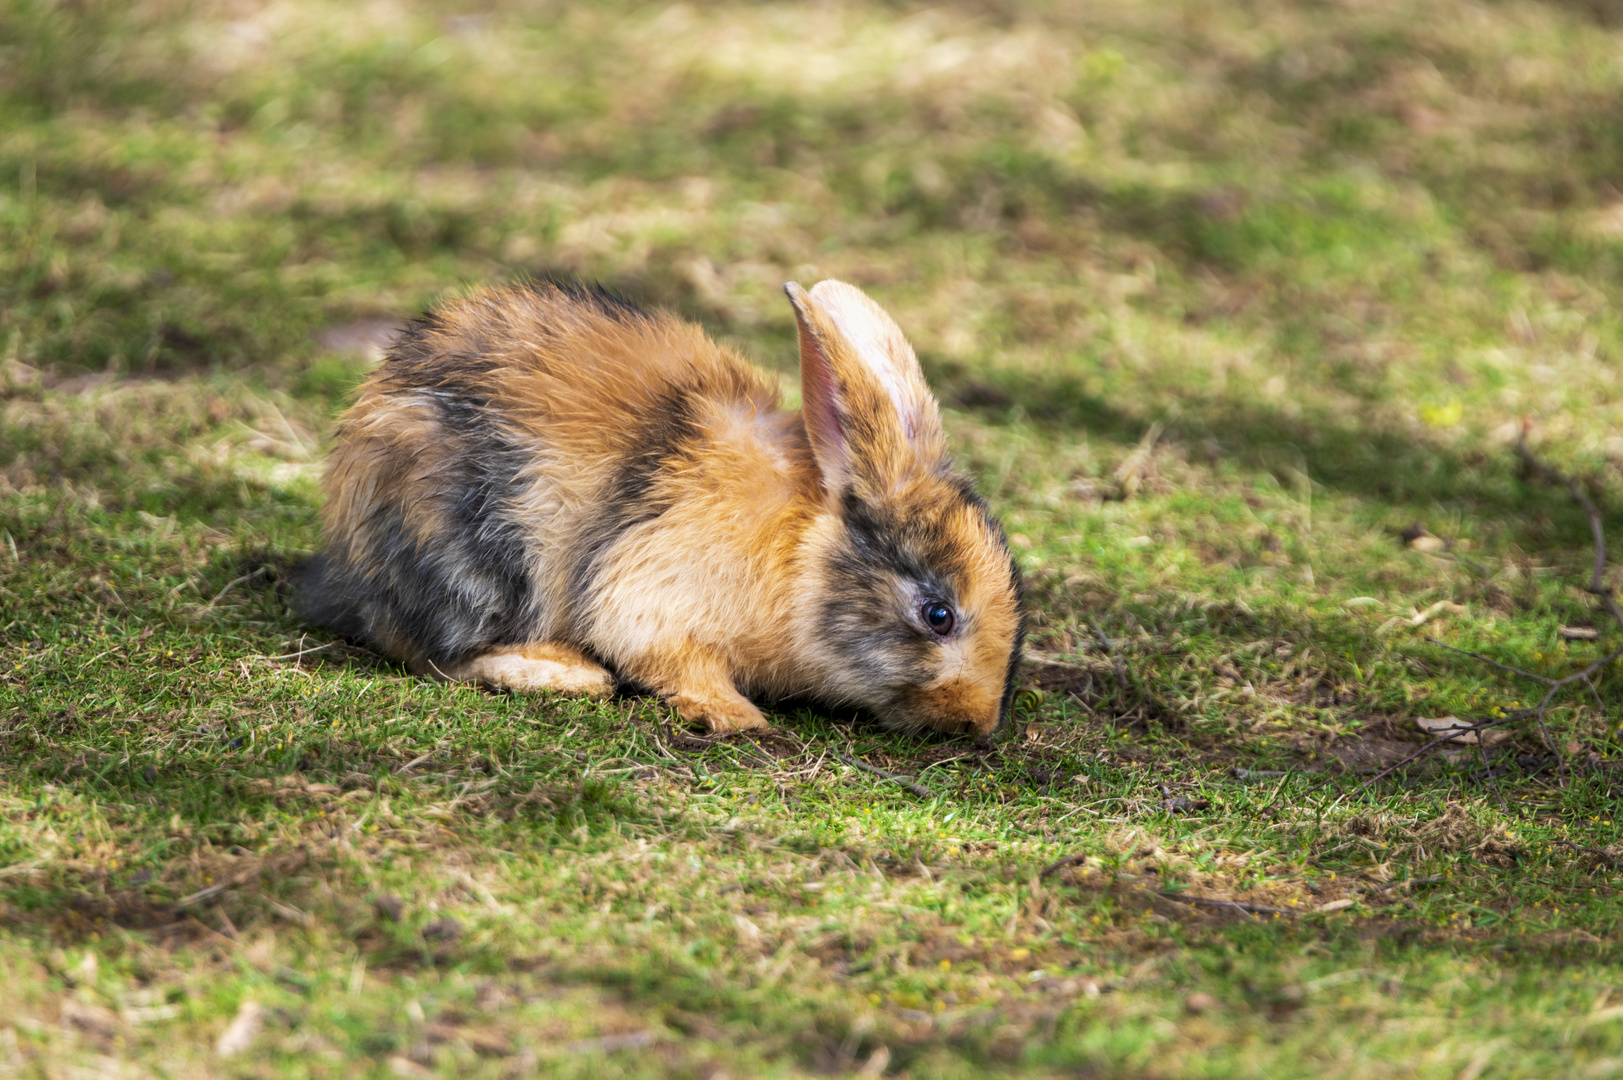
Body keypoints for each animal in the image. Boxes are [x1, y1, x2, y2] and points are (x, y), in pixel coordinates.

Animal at [298, 277, 1019, 734]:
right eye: (938, 615)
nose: (977, 723)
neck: (801, 553)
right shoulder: (654, 606)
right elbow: (677, 663)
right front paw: (738, 718)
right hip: (475, 560)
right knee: (430, 652)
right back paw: (567, 674)